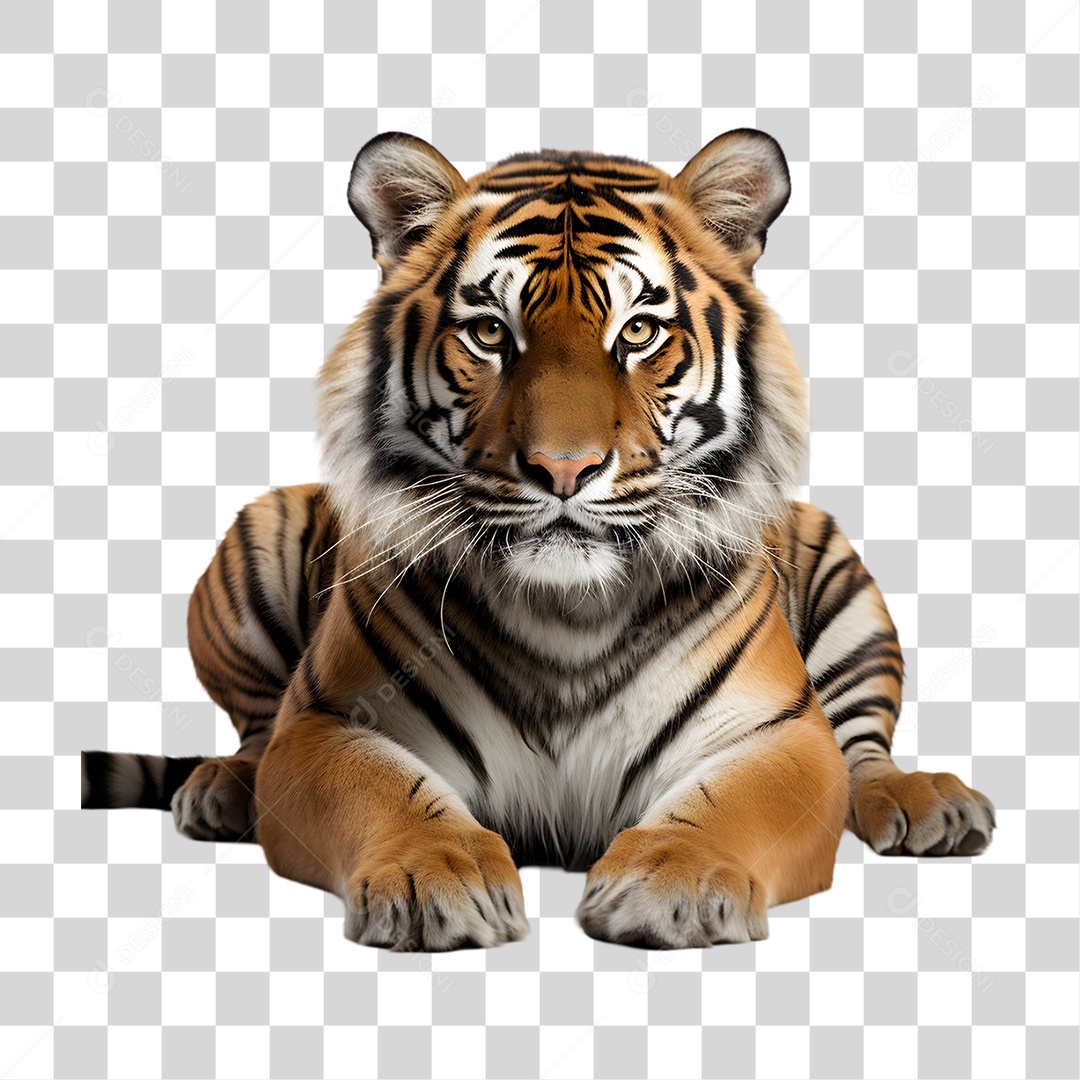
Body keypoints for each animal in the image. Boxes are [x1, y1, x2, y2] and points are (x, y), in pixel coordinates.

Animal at [83, 128, 996, 951]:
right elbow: (384, 790)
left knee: (863, 748)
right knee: (254, 730)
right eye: (491, 333)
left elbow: (745, 800)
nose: (564, 468)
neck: (571, 612)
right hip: (252, 548)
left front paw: (674, 883)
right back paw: (224, 789)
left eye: (638, 333)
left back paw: (929, 803)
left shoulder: (781, 736)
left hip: (848, 588)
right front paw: (432, 877)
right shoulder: (327, 721)